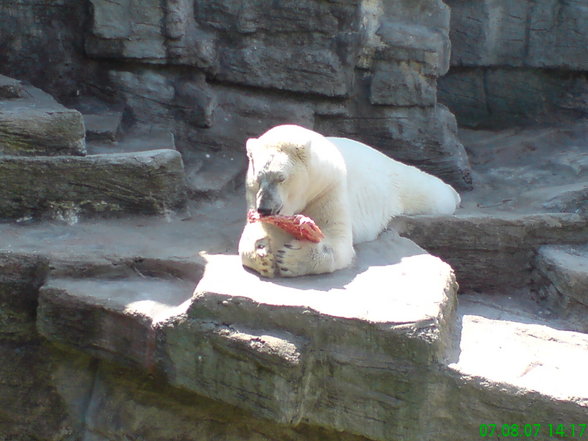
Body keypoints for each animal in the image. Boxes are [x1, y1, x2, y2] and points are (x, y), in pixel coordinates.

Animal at [238, 124, 460, 276]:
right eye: (258, 177)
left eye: (281, 178)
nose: (265, 209)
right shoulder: (255, 198)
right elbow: (257, 231)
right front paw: (262, 254)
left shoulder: (330, 187)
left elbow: (338, 240)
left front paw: (290, 257)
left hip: (397, 184)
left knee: (431, 193)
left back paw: (454, 194)